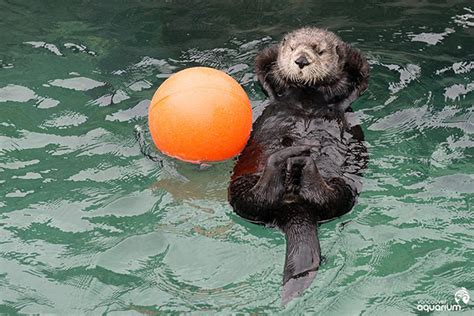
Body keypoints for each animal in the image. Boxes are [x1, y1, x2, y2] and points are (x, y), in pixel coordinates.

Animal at [228, 27, 368, 304]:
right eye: (292, 48)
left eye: (319, 51)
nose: (301, 60)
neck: (307, 95)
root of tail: (293, 206)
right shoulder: (267, 69)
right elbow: (263, 71)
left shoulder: (354, 80)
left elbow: (358, 82)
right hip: (239, 187)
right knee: (256, 199)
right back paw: (289, 156)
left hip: (344, 189)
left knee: (326, 197)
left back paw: (301, 159)